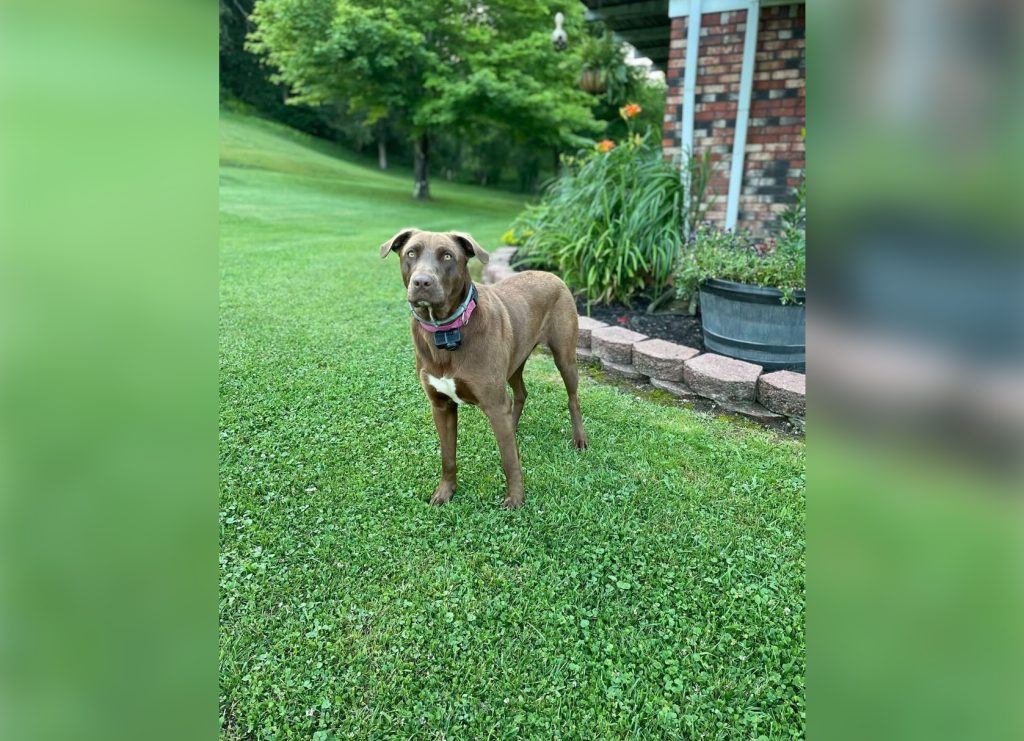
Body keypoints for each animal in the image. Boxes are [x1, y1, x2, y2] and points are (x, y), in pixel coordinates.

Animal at [380, 228, 588, 508]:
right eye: (411, 253)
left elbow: (509, 460)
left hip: (564, 355)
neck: (447, 332)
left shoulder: (494, 403)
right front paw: (445, 492)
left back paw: (579, 438)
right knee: (520, 393)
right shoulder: (441, 406)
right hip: (515, 361)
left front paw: (516, 499)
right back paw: (514, 425)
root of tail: (551, 274)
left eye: (448, 256)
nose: (422, 282)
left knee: (572, 397)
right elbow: (448, 457)